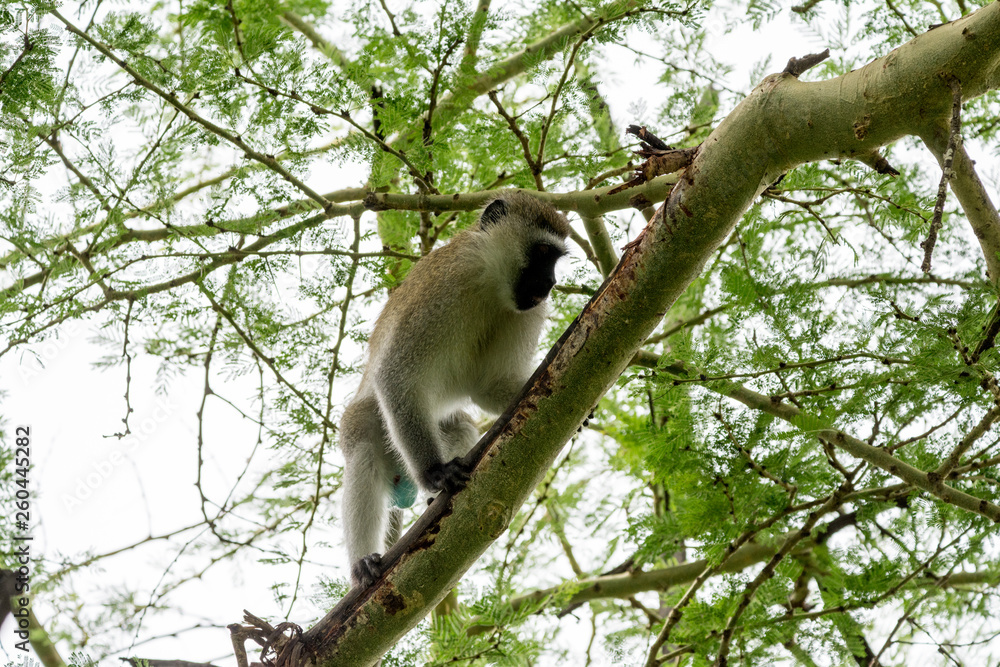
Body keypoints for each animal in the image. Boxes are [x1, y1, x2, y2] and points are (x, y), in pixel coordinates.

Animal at [340, 190, 568, 588]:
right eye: (542, 252)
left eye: (555, 258)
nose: (551, 284)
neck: (487, 280)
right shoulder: (444, 286)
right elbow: (396, 374)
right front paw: (436, 472)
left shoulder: (526, 311)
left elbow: (489, 386)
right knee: (366, 433)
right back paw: (363, 562)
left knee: (458, 423)